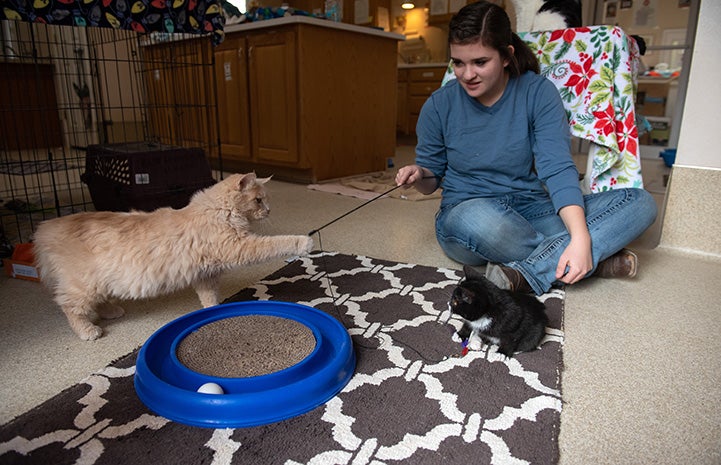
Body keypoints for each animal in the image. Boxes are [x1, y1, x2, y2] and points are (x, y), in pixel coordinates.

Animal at [33, 172, 312, 338]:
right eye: (258, 200)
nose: (269, 211)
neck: (217, 210)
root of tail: (46, 227)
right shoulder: (240, 247)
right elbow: (276, 243)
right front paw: (303, 241)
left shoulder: (206, 275)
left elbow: (210, 299)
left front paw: (214, 311)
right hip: (84, 285)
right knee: (69, 306)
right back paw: (88, 330)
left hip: (99, 283)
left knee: (94, 302)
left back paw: (111, 311)